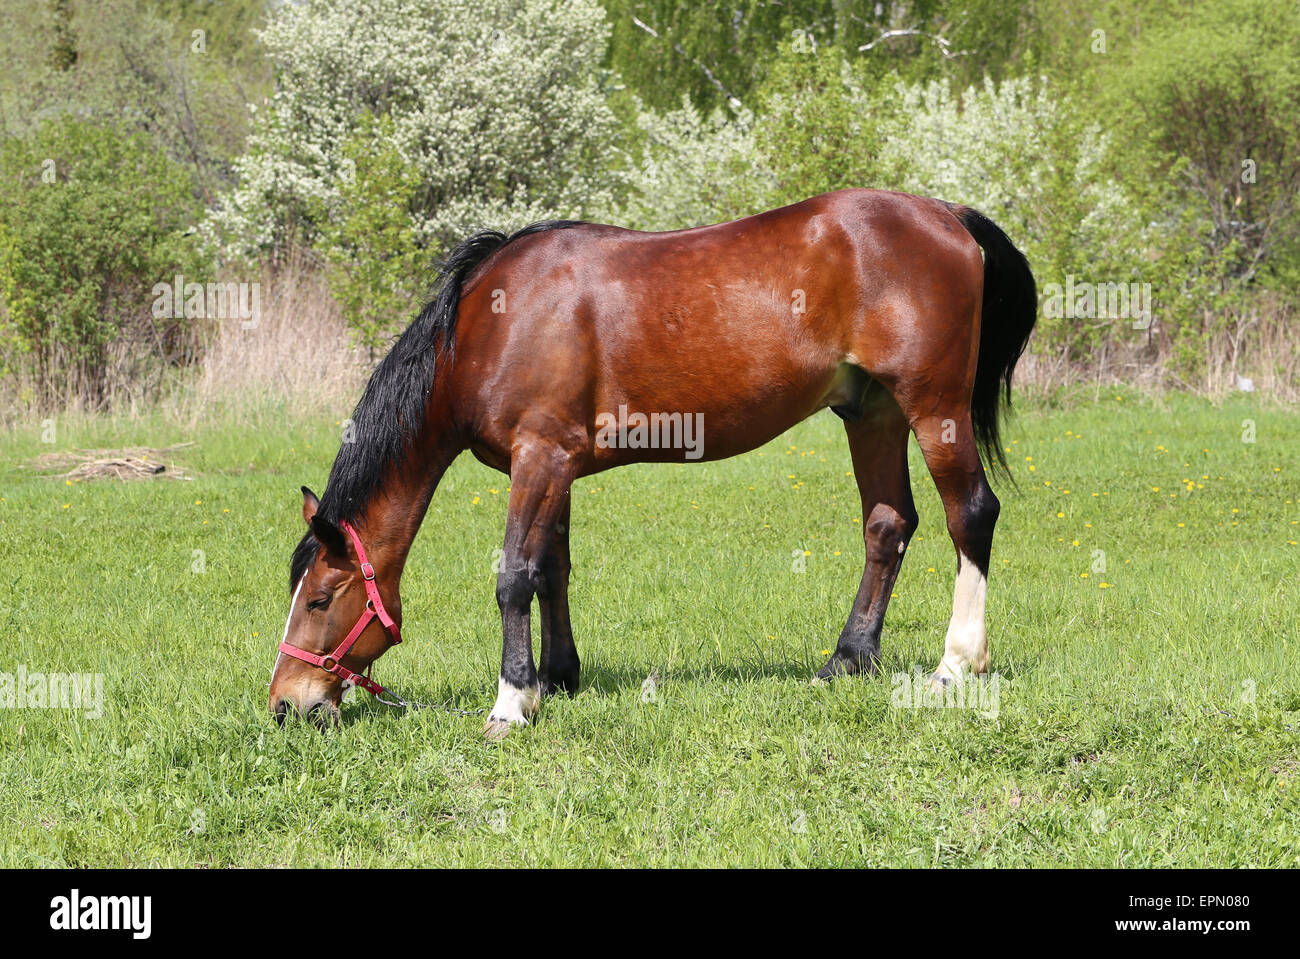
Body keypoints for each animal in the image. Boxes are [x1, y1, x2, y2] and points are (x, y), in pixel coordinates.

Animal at [266, 188, 1034, 738]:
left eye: (321, 598)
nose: (285, 705)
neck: (488, 326)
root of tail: (947, 214)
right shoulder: (556, 464)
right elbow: (552, 569)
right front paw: (557, 677)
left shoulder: (539, 456)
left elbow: (514, 576)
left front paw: (512, 701)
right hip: (872, 413)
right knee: (887, 525)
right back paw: (845, 660)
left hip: (933, 406)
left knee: (971, 515)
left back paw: (955, 665)